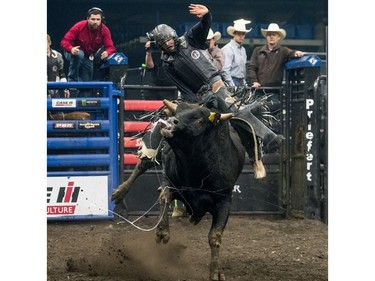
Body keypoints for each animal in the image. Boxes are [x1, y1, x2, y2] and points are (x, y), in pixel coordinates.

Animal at [110, 100, 260, 280]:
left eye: (199, 120)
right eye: (177, 112)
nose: (170, 121)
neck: (196, 167)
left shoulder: (224, 200)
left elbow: (215, 236)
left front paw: (216, 271)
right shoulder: (169, 181)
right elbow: (164, 197)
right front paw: (162, 232)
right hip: (155, 154)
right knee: (141, 166)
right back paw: (119, 193)